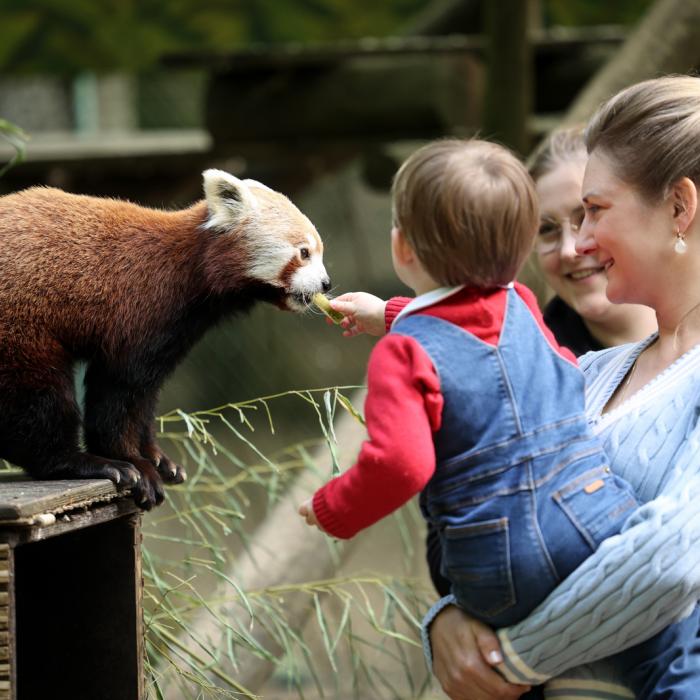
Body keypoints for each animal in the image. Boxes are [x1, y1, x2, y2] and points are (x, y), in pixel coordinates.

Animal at [0, 170, 332, 508]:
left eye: (319, 252)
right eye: (304, 253)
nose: (326, 284)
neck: (189, 268)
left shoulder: (174, 333)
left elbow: (145, 397)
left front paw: (157, 459)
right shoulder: (137, 310)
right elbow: (120, 392)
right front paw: (134, 463)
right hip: (20, 327)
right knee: (38, 400)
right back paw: (80, 462)